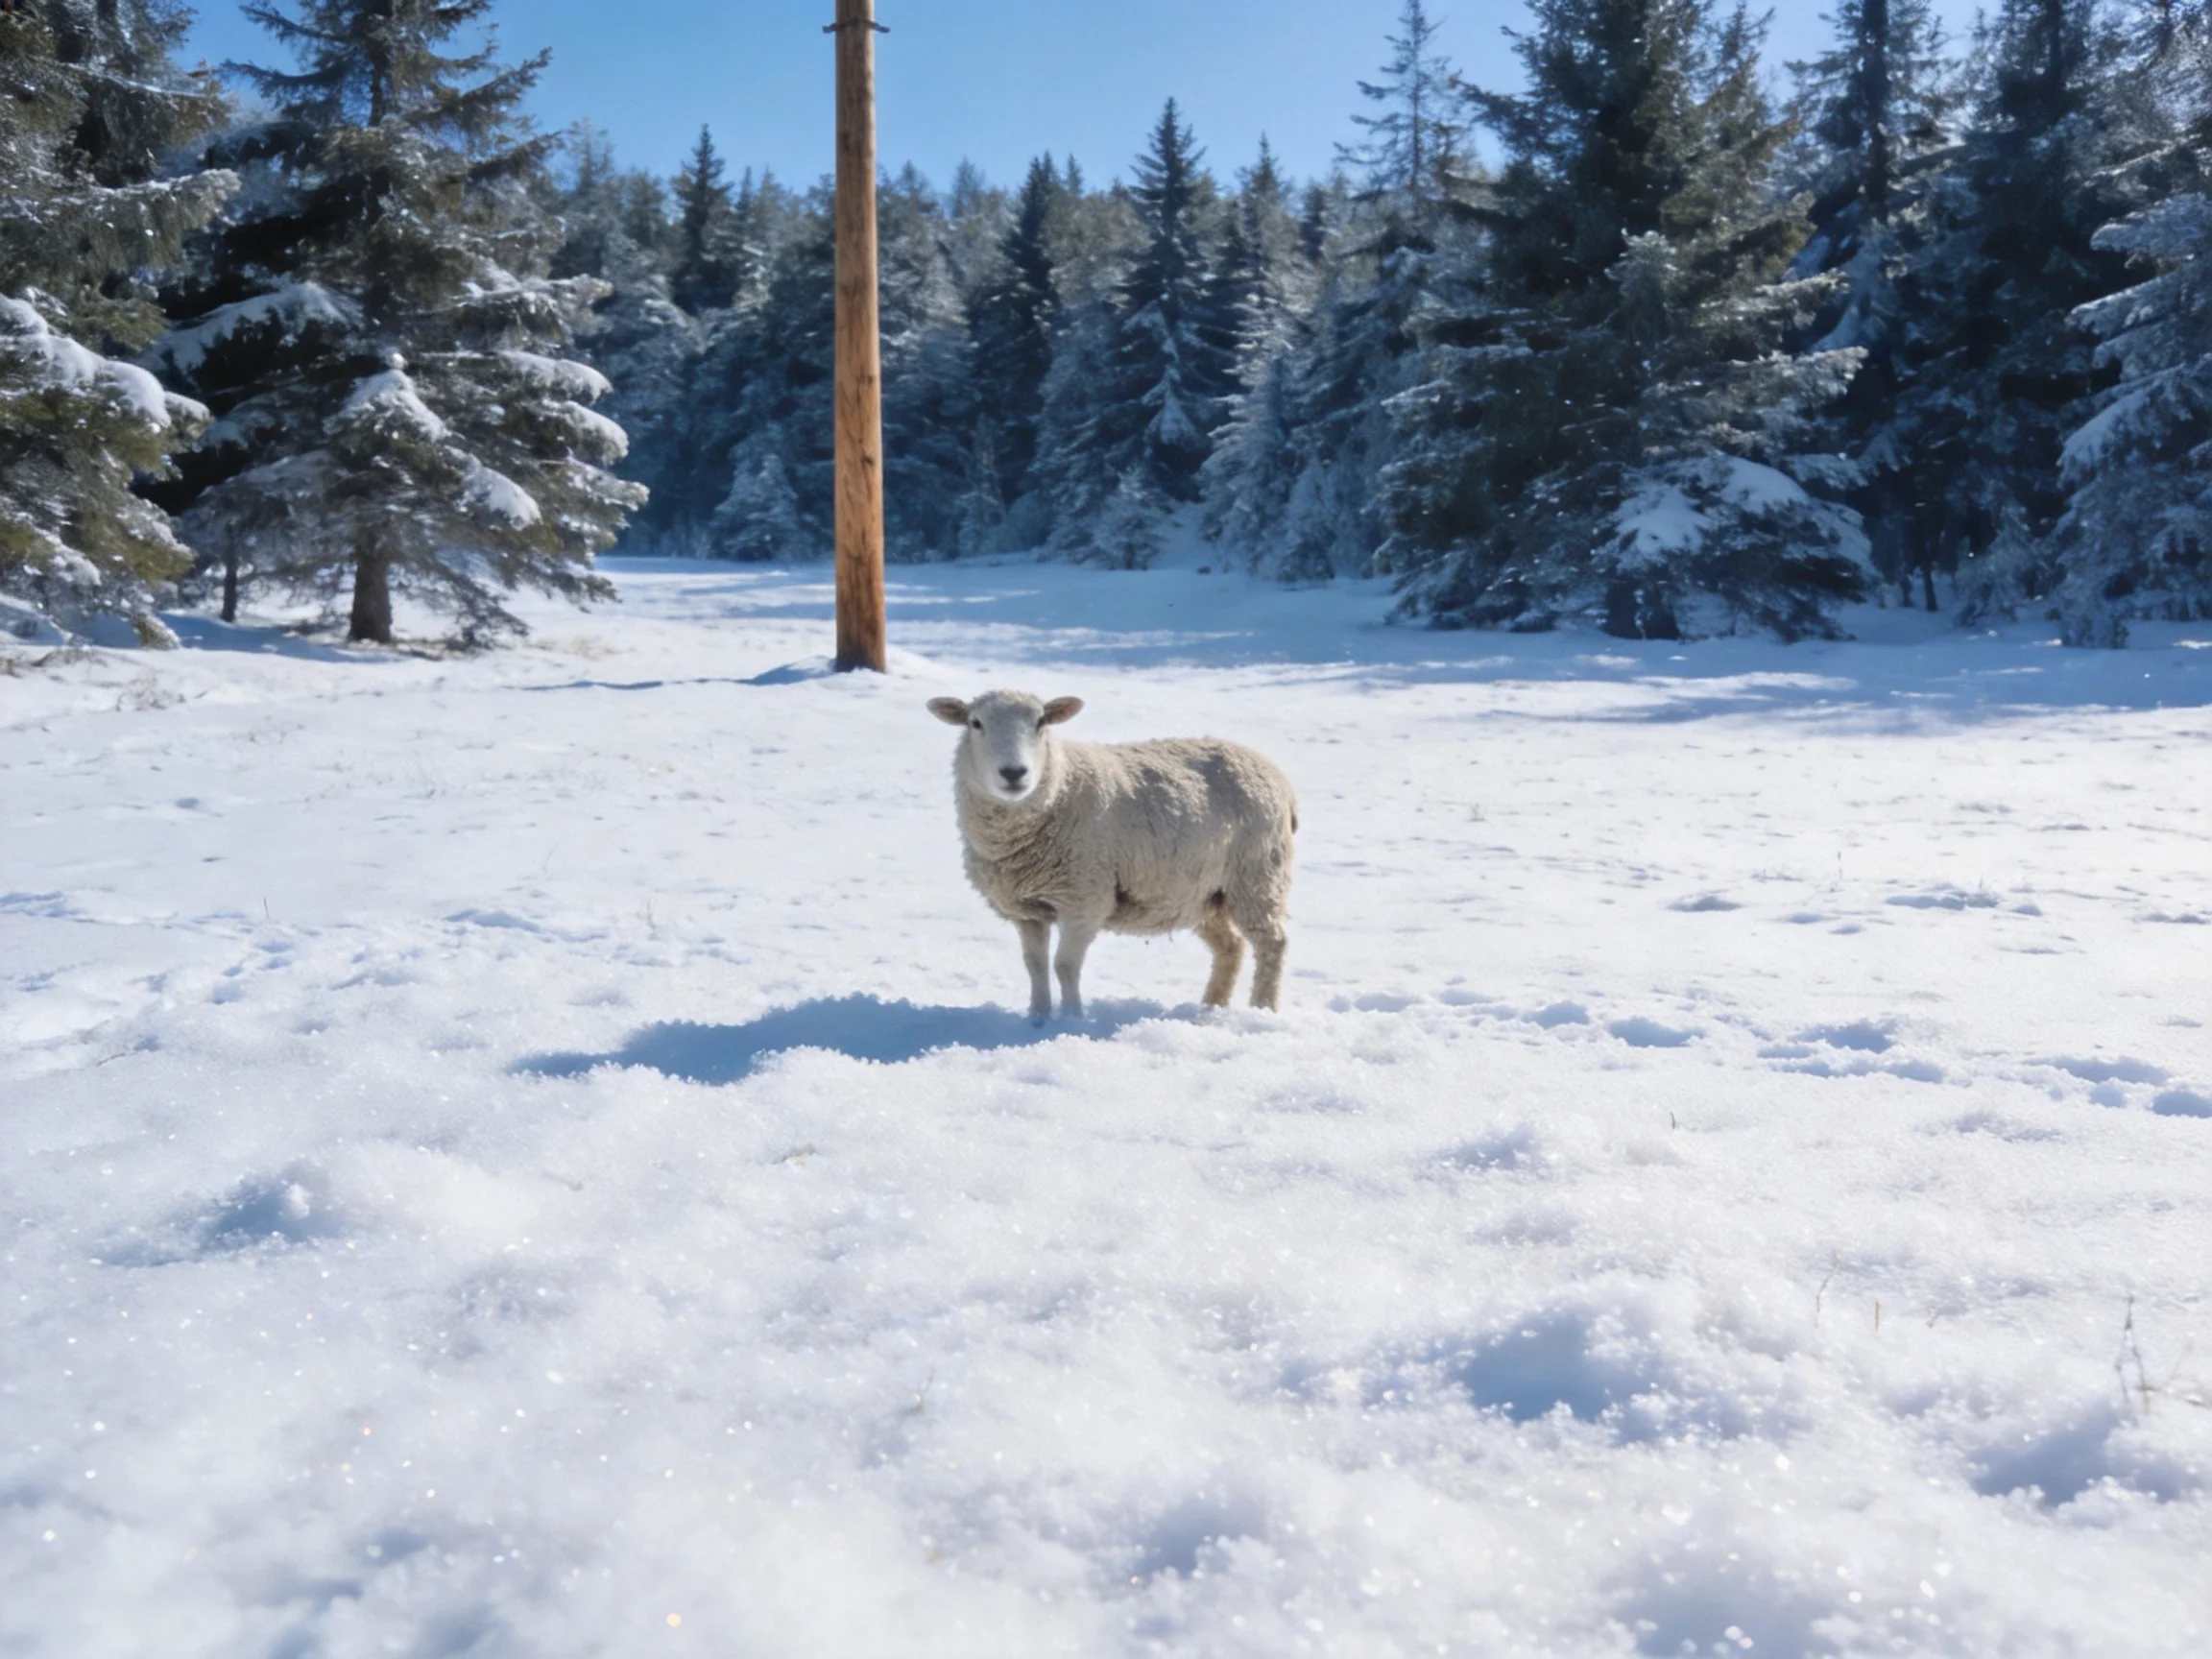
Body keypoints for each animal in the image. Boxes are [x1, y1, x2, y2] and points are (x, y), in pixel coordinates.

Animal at [927, 688, 1297, 1018]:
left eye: (1041, 722)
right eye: (975, 723)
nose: (1014, 773)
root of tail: (1274, 772)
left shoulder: (1085, 900)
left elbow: (1065, 965)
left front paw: (1072, 1019)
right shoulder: (1027, 910)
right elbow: (1035, 966)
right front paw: (1037, 1018)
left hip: (1257, 875)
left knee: (1272, 944)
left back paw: (1263, 1008)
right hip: (1204, 894)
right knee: (1231, 947)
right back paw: (1211, 1006)